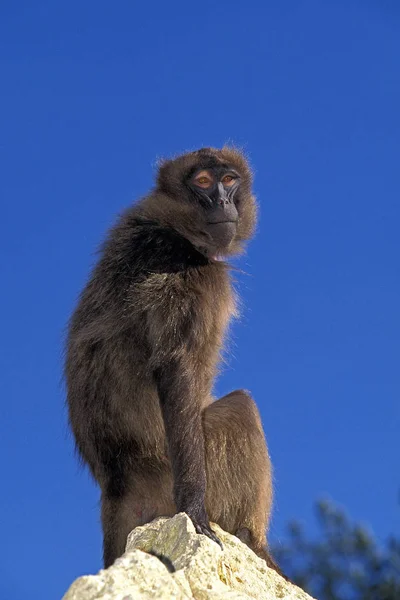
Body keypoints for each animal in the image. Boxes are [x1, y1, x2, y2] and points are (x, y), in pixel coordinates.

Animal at [65, 145, 282, 572]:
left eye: (228, 180)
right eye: (203, 182)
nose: (221, 201)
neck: (173, 223)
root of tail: (119, 486)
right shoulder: (186, 270)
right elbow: (176, 368)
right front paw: (194, 509)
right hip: (184, 473)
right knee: (242, 409)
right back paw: (254, 540)